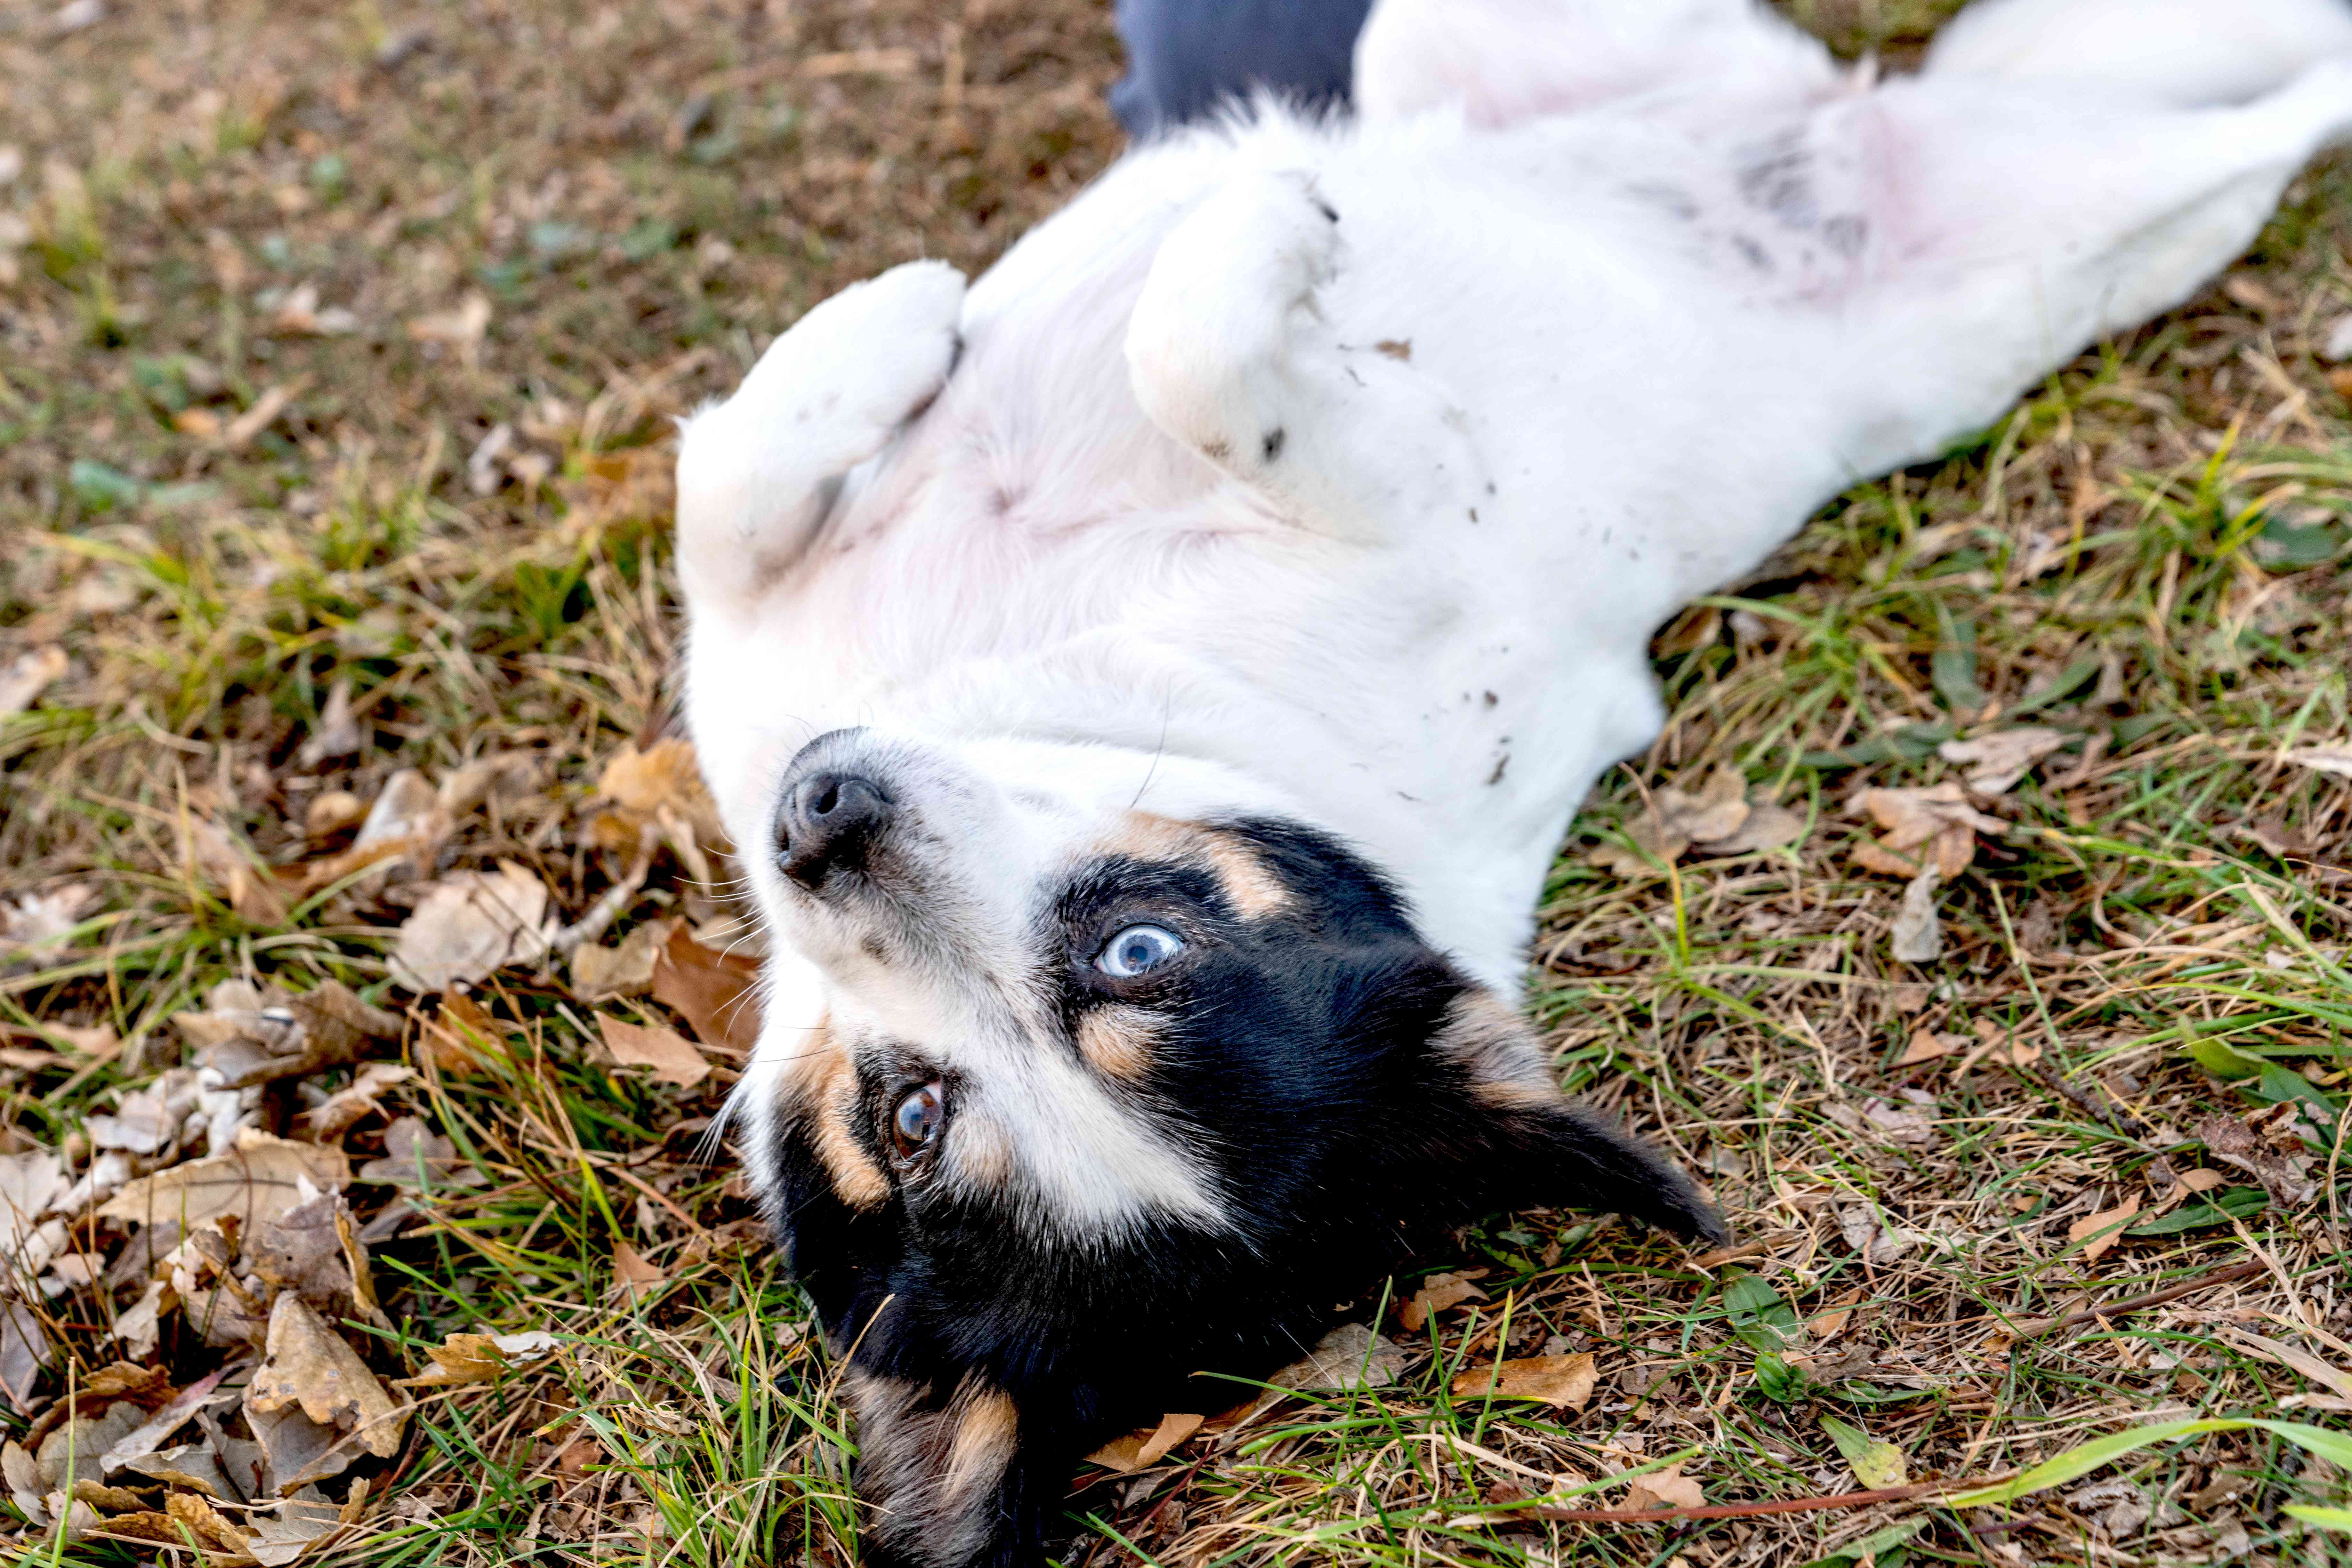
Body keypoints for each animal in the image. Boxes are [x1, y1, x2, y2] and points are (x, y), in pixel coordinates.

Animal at [673, 6, 2352, 1561]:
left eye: (1140, 952)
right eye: (909, 1115)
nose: (818, 822)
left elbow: (816, 458)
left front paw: (952, 303)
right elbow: (820, 469)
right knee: (2270, 113)